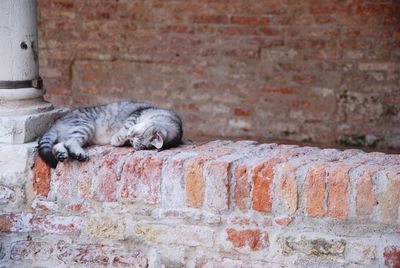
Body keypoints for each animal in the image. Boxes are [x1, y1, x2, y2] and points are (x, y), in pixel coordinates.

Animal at [37, 100, 183, 168]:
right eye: (134, 135)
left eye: (134, 140)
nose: (130, 137)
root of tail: (57, 123)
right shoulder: (135, 116)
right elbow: (125, 128)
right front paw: (118, 138)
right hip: (84, 126)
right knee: (68, 142)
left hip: (80, 129)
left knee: (62, 143)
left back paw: (66, 154)